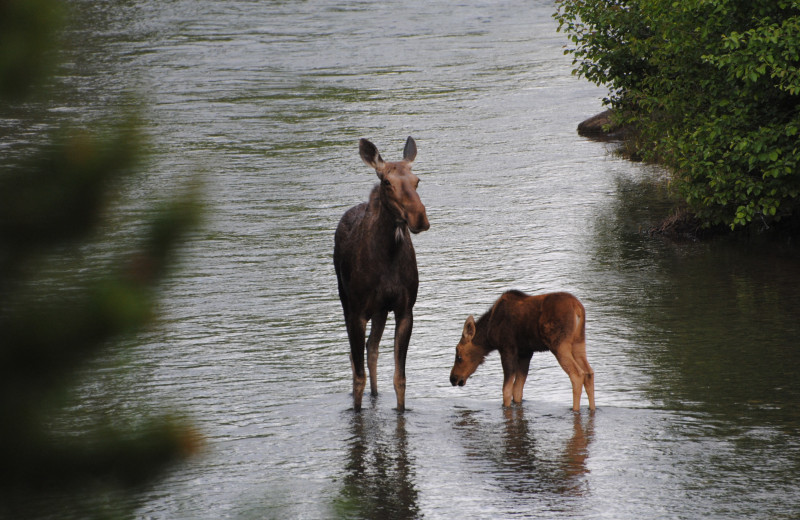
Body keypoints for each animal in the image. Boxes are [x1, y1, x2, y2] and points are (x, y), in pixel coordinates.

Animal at [332, 136, 428, 412]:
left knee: (371, 347)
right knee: (357, 355)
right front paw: (356, 409)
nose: (420, 217)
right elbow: (358, 378)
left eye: (417, 180)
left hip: (380, 310)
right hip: (346, 300)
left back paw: (375, 395)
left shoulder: (404, 309)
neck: (387, 257)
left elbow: (400, 378)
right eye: (387, 182)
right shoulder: (357, 312)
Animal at [450, 290, 592, 412]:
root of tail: (577, 308)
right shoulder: (526, 353)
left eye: (459, 356)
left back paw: (575, 410)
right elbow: (517, 390)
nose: (453, 378)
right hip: (579, 342)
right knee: (589, 372)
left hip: (559, 344)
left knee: (577, 374)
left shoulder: (507, 349)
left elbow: (506, 390)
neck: (489, 334)